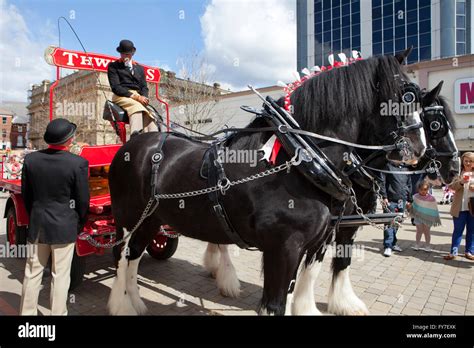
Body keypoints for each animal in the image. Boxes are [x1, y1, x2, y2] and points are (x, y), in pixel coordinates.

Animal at [107, 51, 426, 316]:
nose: (419, 149)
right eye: (405, 95)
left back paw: (136, 303)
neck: (301, 160)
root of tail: (131, 146)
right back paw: (123, 305)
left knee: (134, 258)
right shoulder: (283, 249)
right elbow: (275, 305)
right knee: (122, 257)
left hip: (151, 220)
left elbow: (303, 286)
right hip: (128, 219)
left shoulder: (318, 240)